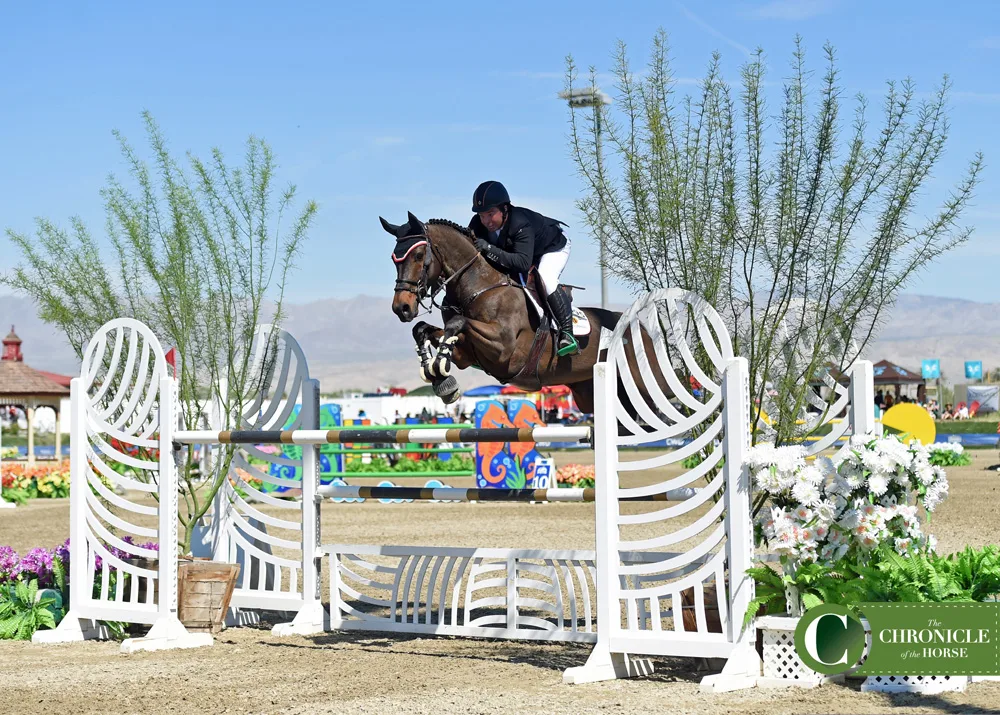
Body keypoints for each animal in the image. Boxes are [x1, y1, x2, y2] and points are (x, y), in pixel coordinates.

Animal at [378, 211, 620, 414]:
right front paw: (439, 378)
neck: (478, 286)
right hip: (587, 393)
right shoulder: (466, 354)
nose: (401, 308)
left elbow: (457, 322)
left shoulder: (504, 349)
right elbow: (423, 329)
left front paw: (438, 369)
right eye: (393, 258)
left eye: (419, 255)